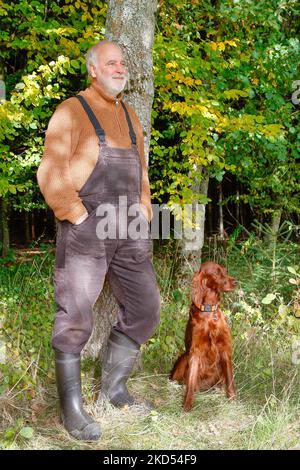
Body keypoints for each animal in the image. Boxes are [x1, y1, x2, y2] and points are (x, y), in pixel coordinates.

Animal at [171, 260, 237, 412]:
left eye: (225, 270)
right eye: (217, 272)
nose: (235, 282)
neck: (209, 312)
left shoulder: (225, 350)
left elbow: (230, 379)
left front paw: (233, 400)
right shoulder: (195, 352)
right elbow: (191, 382)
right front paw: (187, 405)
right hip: (184, 357)